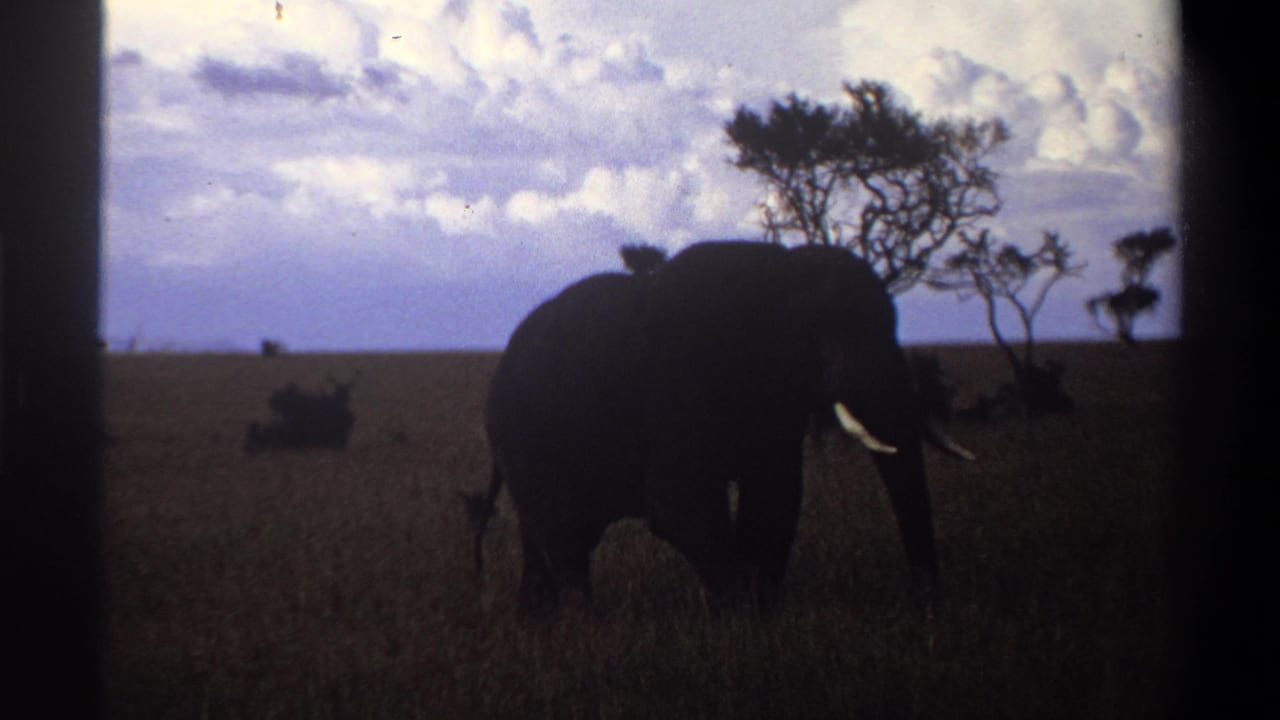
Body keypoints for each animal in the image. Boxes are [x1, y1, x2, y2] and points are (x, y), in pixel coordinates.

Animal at [466, 241, 973, 614]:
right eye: (825, 342)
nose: (925, 603)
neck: (781, 273)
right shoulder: (677, 383)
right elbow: (679, 507)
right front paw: (741, 617)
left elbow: (774, 500)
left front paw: (765, 613)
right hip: (525, 435)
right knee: (565, 537)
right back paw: (583, 627)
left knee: (543, 541)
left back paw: (538, 626)